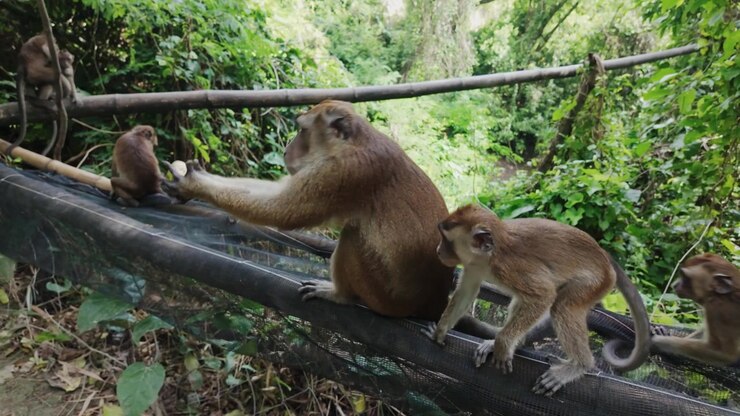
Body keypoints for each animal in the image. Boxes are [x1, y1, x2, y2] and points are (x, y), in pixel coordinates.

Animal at [162, 100, 497, 337]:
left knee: (352, 235)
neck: (354, 142)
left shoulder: (344, 173)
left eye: (302, 130)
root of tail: (433, 304)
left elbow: (283, 209)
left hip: (384, 299)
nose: (287, 148)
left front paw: (195, 185)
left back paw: (341, 296)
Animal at [423, 204, 651, 396]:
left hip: (596, 282)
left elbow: (544, 295)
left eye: (447, 240)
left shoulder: (509, 267)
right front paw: (440, 331)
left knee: (562, 307)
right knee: (522, 302)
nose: (438, 250)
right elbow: (467, 291)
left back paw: (580, 365)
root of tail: (604, 257)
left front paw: (502, 343)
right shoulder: (473, 265)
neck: (489, 255)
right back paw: (514, 343)